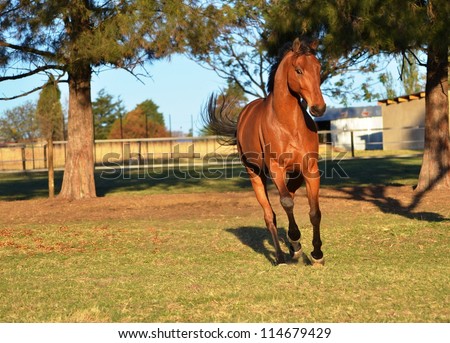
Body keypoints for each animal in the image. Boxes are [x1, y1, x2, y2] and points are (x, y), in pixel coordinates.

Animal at [205, 38, 326, 266]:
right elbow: (286, 202)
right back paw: (280, 256)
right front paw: (296, 245)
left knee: (288, 197)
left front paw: (317, 254)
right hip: (256, 174)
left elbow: (314, 212)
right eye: (298, 70)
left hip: (294, 173)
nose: (319, 108)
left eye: (319, 68)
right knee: (270, 215)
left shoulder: (309, 169)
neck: (288, 124)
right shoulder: (276, 169)